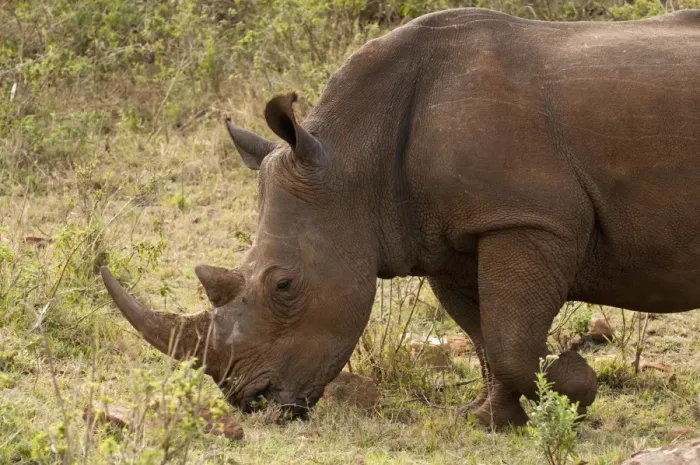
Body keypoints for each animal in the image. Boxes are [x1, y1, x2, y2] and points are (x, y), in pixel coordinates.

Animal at [101, 8, 700, 428]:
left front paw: (573, 386)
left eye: (285, 285)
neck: (353, 160)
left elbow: (509, 339)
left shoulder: (528, 218)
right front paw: (488, 421)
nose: (251, 402)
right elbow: (486, 334)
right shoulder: (450, 238)